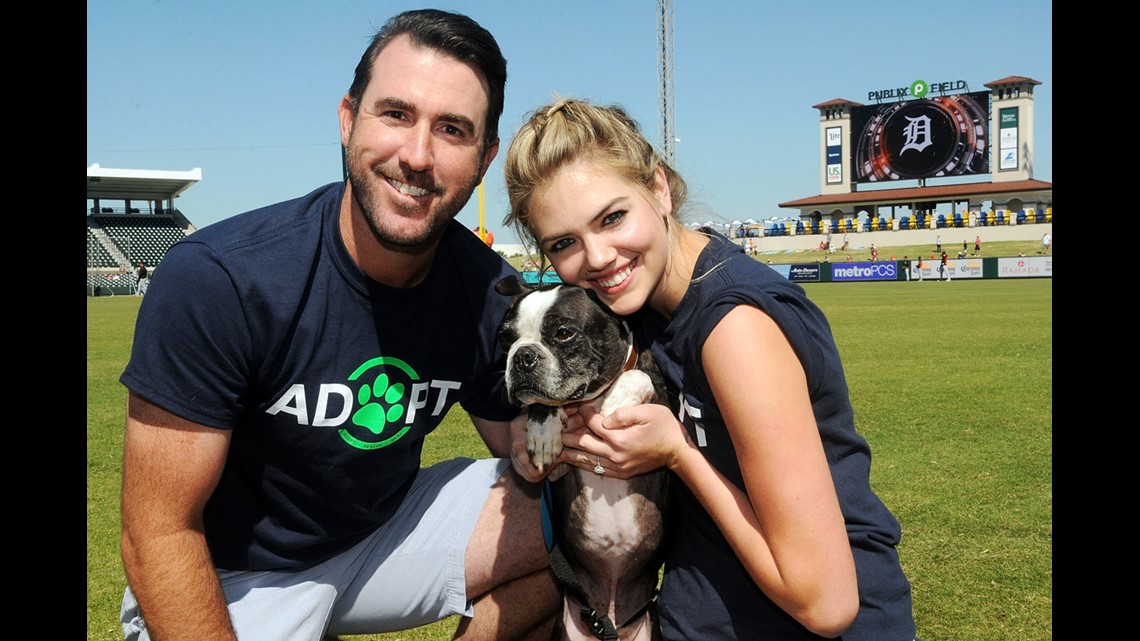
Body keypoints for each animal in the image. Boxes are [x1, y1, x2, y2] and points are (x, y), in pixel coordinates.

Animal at [494, 276, 670, 638]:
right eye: (505, 338)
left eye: (564, 333)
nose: (522, 357)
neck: (590, 398)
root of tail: (610, 620)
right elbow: (543, 404)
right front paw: (543, 431)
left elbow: (639, 375)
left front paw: (617, 402)